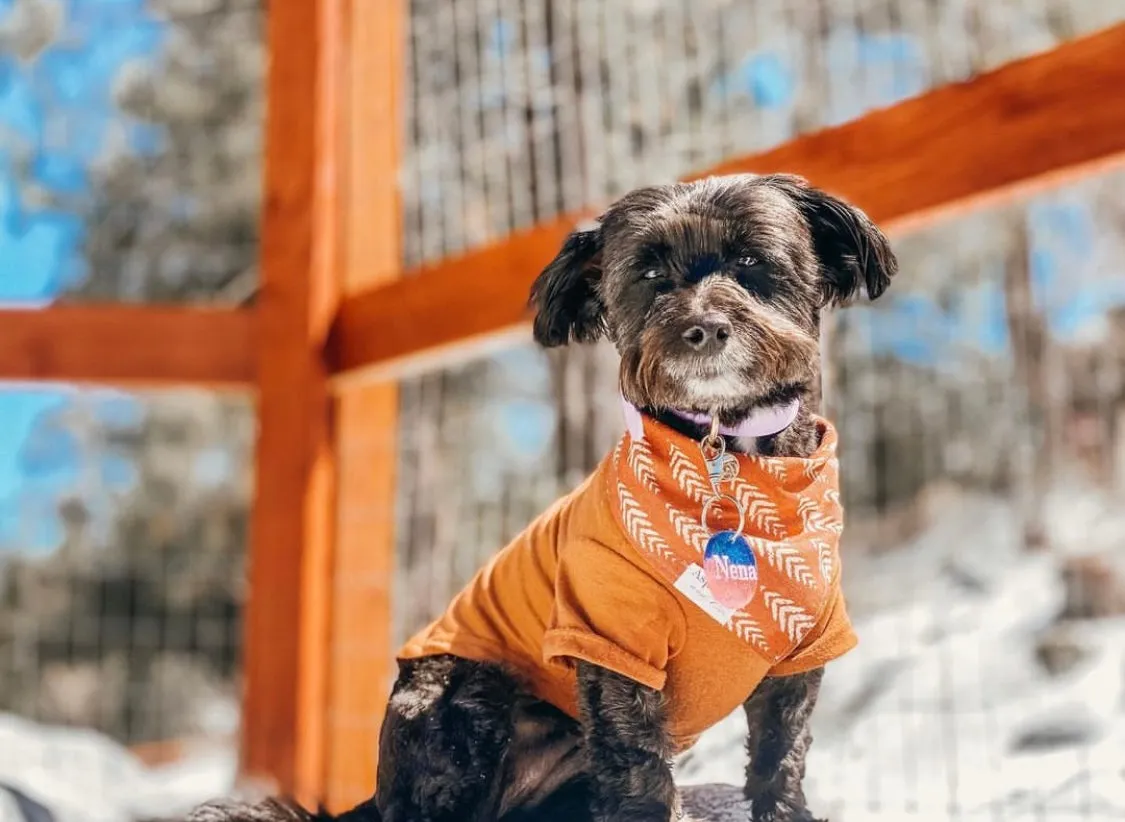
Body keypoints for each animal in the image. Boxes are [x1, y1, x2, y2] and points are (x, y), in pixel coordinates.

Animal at [191, 170, 895, 818]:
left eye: (751, 261)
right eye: (649, 274)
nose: (703, 328)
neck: (730, 459)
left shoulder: (802, 651)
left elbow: (781, 757)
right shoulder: (610, 642)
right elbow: (642, 771)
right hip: (467, 692)